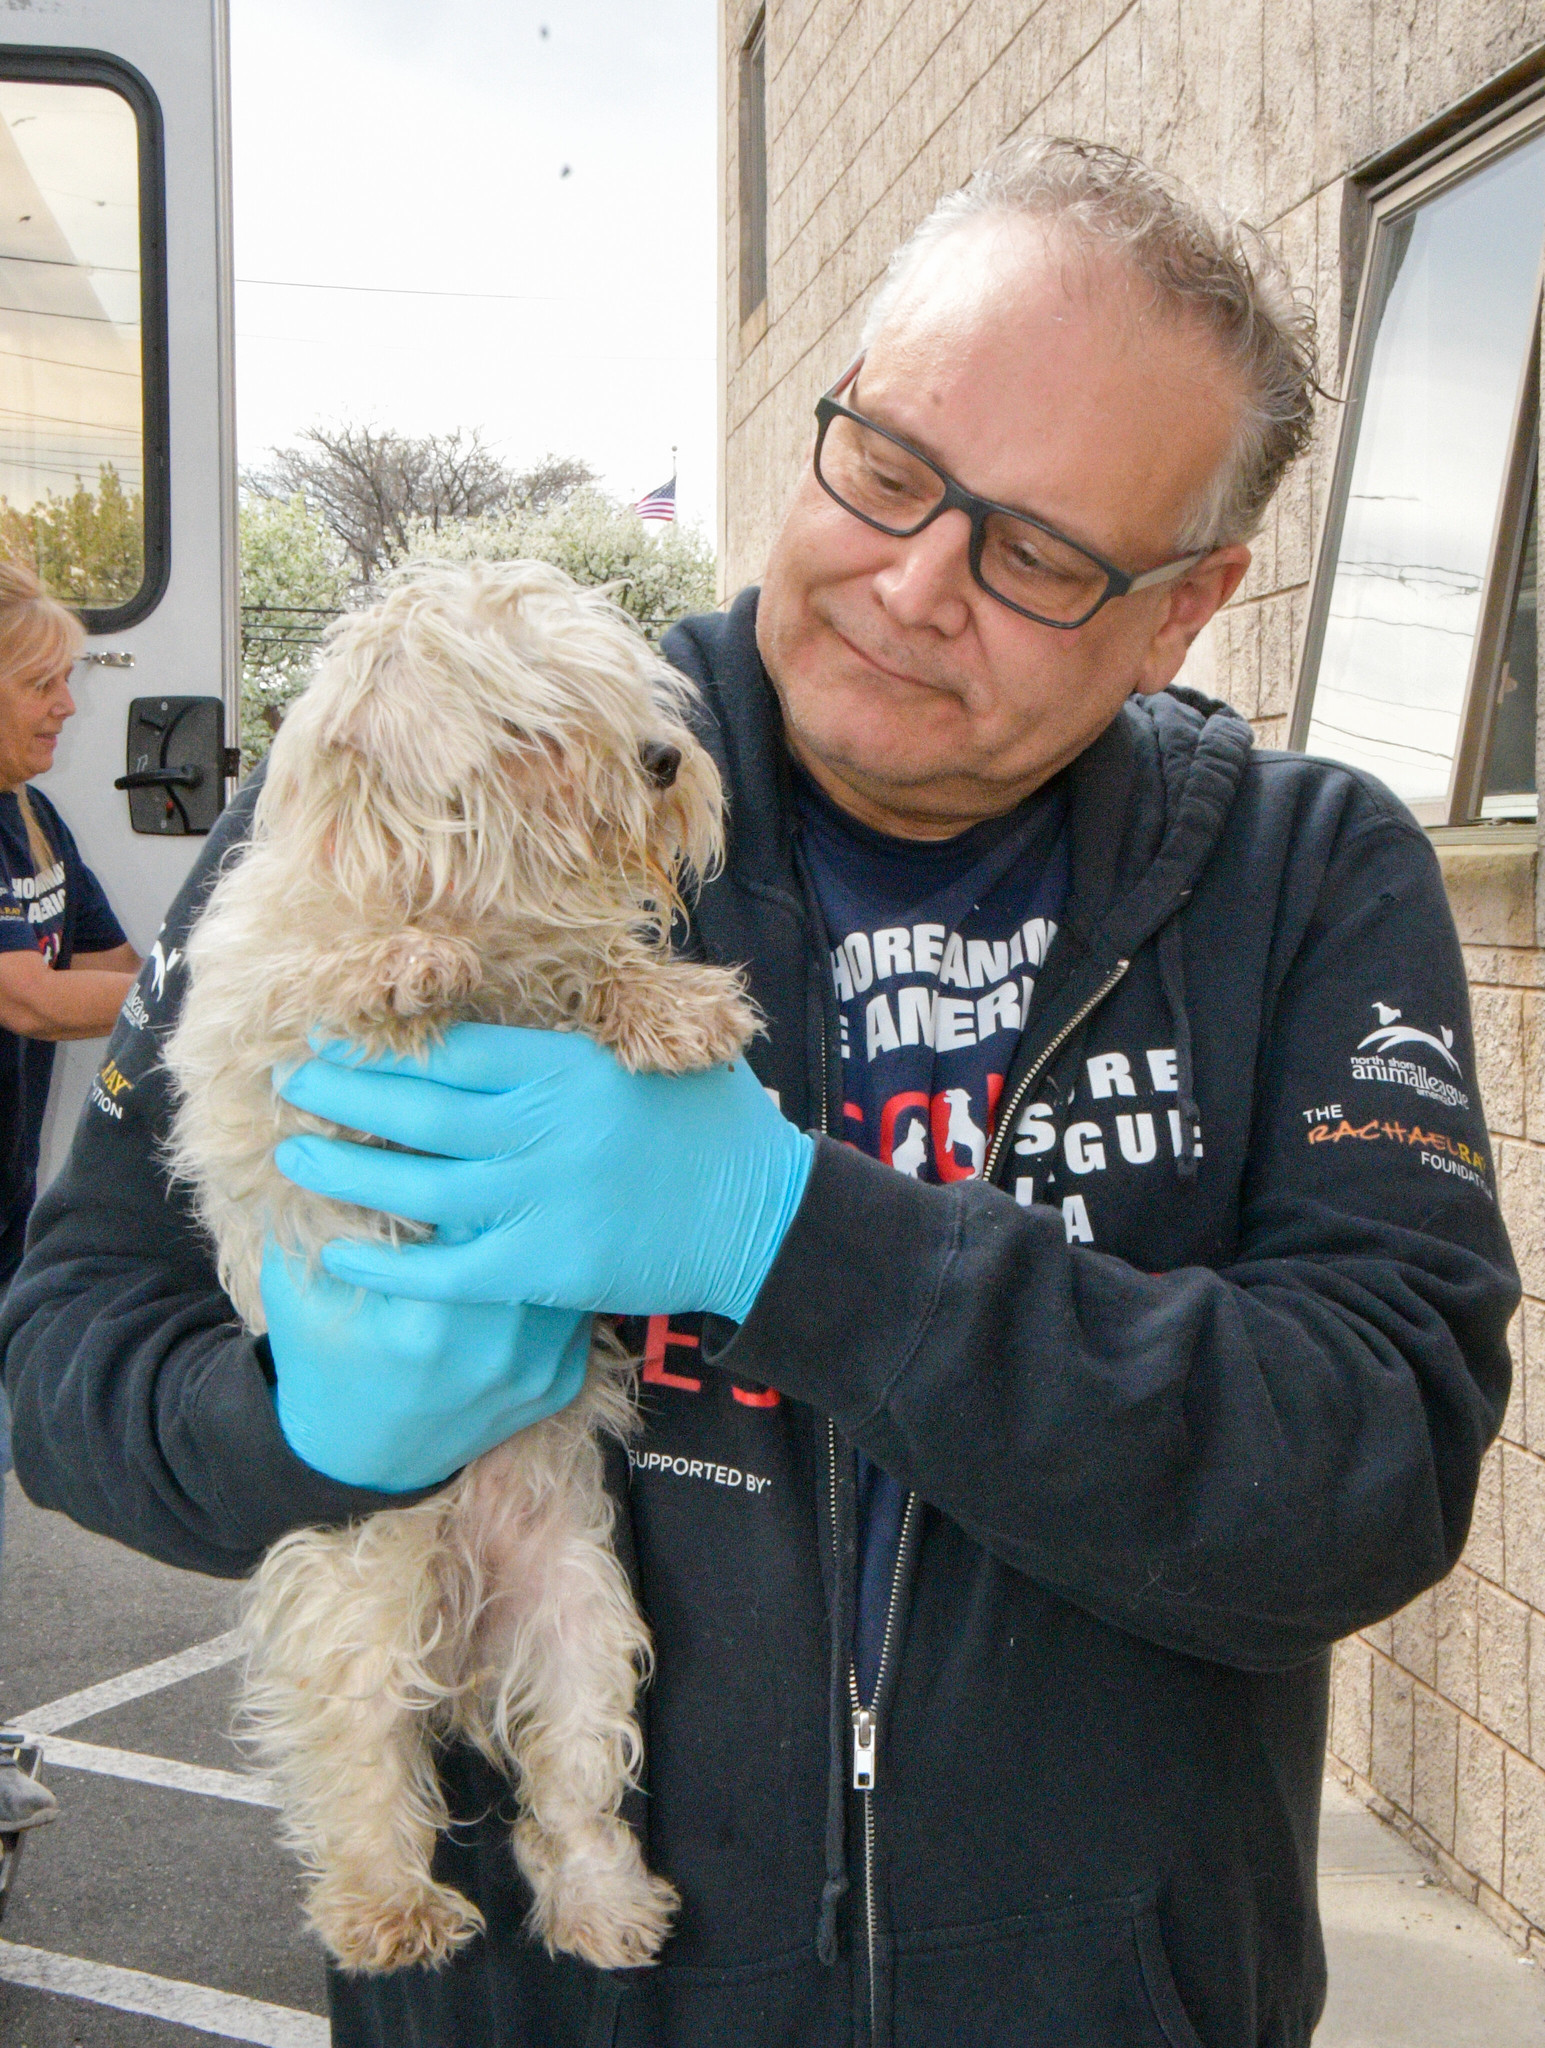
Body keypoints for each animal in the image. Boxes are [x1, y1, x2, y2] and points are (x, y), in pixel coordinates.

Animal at [162, 557, 754, 1966]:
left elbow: (588, 967)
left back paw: (607, 1903)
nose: (664, 759)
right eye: (540, 724)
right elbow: (316, 977)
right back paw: (389, 1905)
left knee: (570, 1796)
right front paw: (393, 965)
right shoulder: (249, 1017)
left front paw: (672, 1004)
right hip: (353, 1613)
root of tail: (464, 1603)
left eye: (630, 697)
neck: (460, 902)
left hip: (586, 1622)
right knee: (360, 1774)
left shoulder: (545, 973)